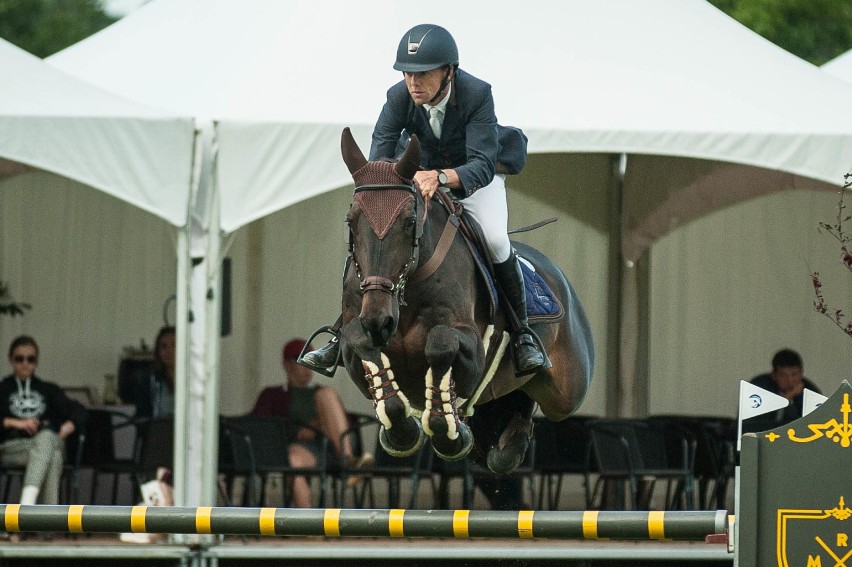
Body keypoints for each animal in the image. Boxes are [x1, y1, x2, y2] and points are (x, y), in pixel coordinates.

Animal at [338, 129, 592, 474]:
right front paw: (403, 433)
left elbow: (441, 345)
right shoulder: (355, 334)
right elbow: (361, 345)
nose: (379, 321)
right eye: (351, 221)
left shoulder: (471, 344)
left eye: (409, 221)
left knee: (539, 400)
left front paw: (449, 433)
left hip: (568, 391)